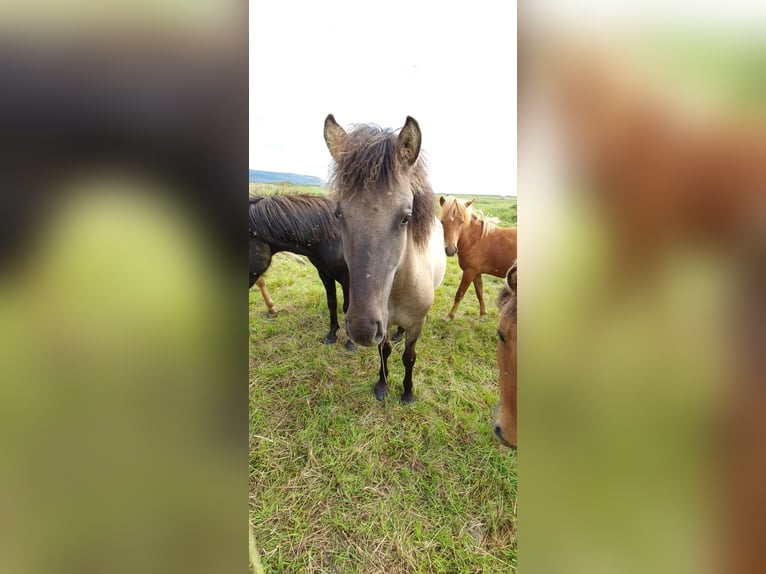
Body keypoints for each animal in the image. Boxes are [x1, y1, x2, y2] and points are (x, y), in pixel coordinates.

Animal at [249, 195, 356, 352]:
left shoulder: (347, 279)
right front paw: (331, 335)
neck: (334, 238)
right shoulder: (325, 275)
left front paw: (351, 342)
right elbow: (332, 303)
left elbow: (347, 308)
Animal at [326, 115, 450, 402]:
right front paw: (382, 385)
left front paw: (407, 392)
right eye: (338, 215)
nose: (360, 329)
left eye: (406, 217)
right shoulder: (380, 321)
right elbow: (384, 352)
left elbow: (409, 357)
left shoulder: (417, 323)